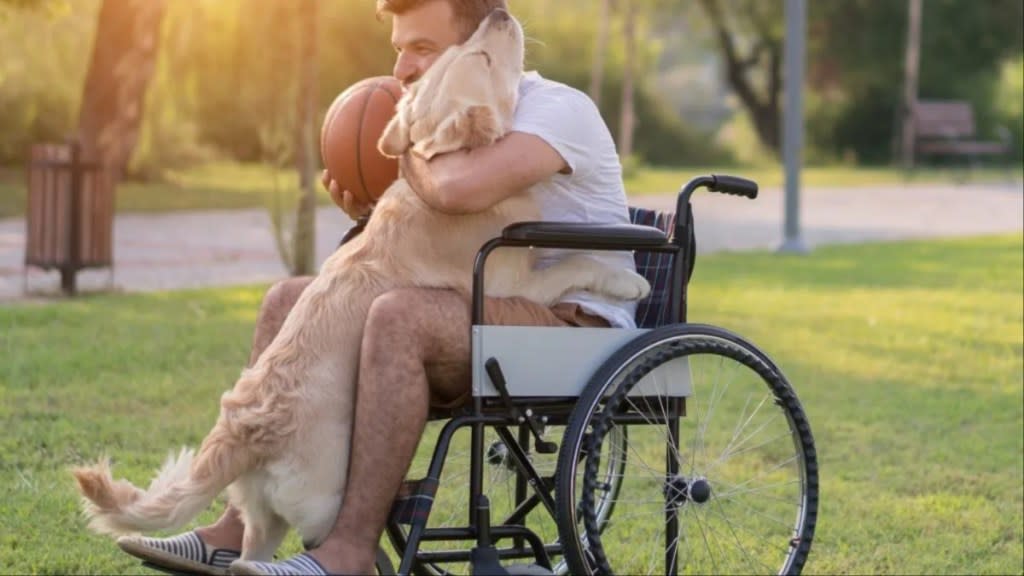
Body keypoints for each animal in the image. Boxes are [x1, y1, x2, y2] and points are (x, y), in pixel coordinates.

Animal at [74, 7, 647, 561]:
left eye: (466, 50)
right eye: (481, 56)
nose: (501, 15)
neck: (453, 166)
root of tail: (247, 429)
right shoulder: (514, 285)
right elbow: (574, 264)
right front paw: (628, 279)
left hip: (263, 516)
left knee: (246, 555)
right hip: (326, 502)